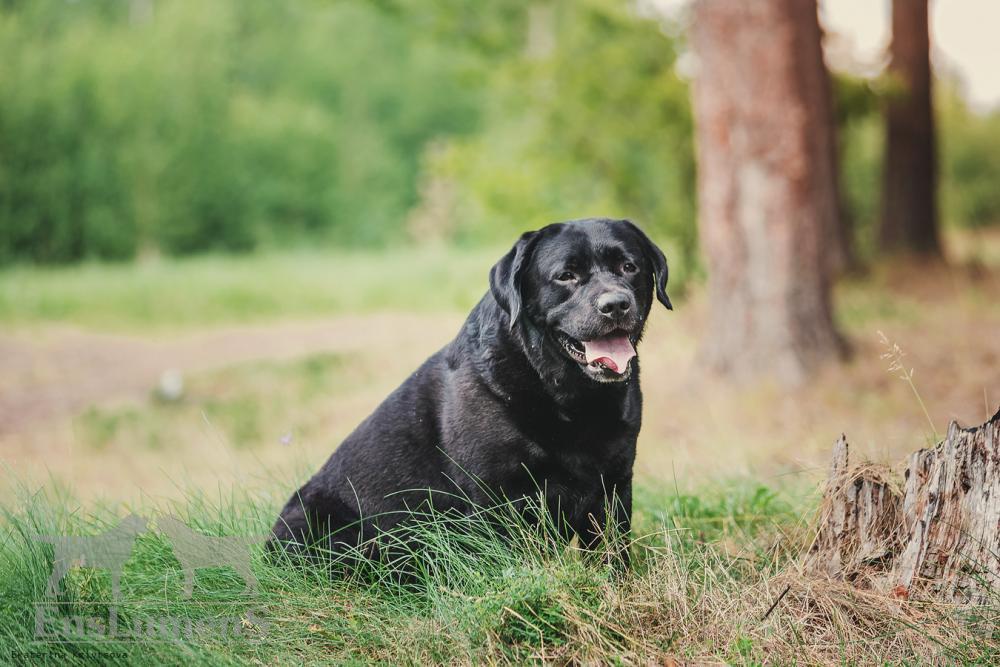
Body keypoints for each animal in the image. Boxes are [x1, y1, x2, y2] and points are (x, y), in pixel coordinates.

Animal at [270, 219, 668, 568]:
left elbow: (613, 557)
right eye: (566, 275)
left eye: (629, 267)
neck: (571, 398)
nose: (615, 304)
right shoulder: (495, 495)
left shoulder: (615, 485)